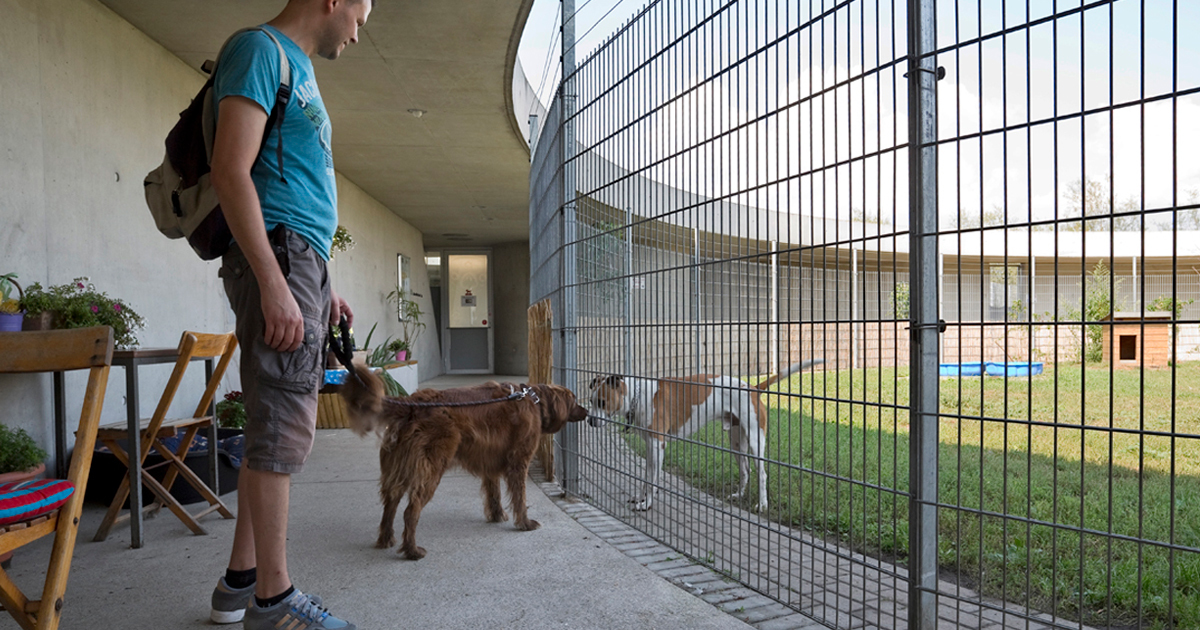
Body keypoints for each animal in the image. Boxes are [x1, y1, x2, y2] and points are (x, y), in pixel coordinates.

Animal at [340, 362, 588, 559]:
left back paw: (386, 539)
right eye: (574, 399)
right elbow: (520, 497)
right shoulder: (519, 462)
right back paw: (412, 550)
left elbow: (494, 493)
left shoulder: (490, 462)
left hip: (399, 468)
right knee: (411, 510)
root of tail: (412, 404)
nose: (586, 412)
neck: (535, 400)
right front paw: (525, 523)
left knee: (390, 504)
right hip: (431, 469)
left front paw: (497, 516)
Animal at [588, 357, 825, 511]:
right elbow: (645, 478)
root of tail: (753, 387)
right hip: (736, 443)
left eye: (602, 402)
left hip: (756, 440)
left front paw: (647, 504)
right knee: (745, 469)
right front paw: (641, 498)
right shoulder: (649, 447)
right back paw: (739, 494)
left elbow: (652, 479)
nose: (589, 421)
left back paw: (763, 504)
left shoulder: (657, 446)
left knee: (762, 473)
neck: (639, 396)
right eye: (590, 401)